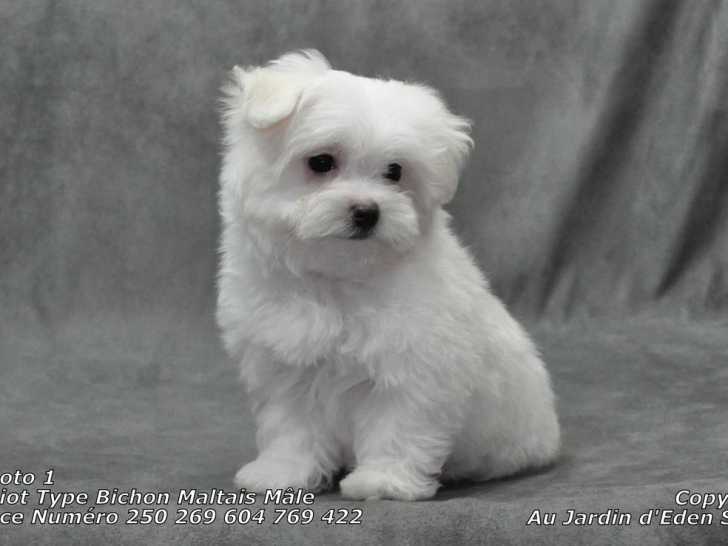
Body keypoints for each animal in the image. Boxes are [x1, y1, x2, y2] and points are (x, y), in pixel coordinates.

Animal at [216, 50, 560, 501]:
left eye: (394, 172)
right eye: (321, 162)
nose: (367, 211)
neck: (336, 277)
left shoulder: (415, 364)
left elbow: (398, 423)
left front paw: (383, 480)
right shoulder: (285, 367)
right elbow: (292, 426)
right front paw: (281, 473)